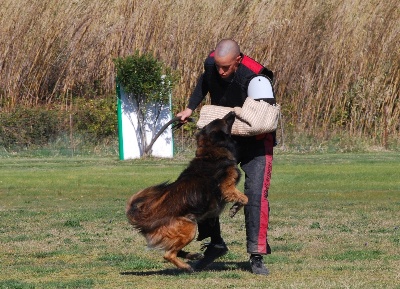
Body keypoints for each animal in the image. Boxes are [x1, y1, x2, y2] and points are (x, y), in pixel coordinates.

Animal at [126, 111, 248, 272]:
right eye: (221, 120)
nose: (232, 112)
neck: (210, 151)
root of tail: (146, 218)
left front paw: (235, 208)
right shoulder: (227, 188)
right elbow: (245, 198)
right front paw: (235, 208)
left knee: (173, 251)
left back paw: (192, 256)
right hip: (190, 227)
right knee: (168, 254)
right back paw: (186, 267)